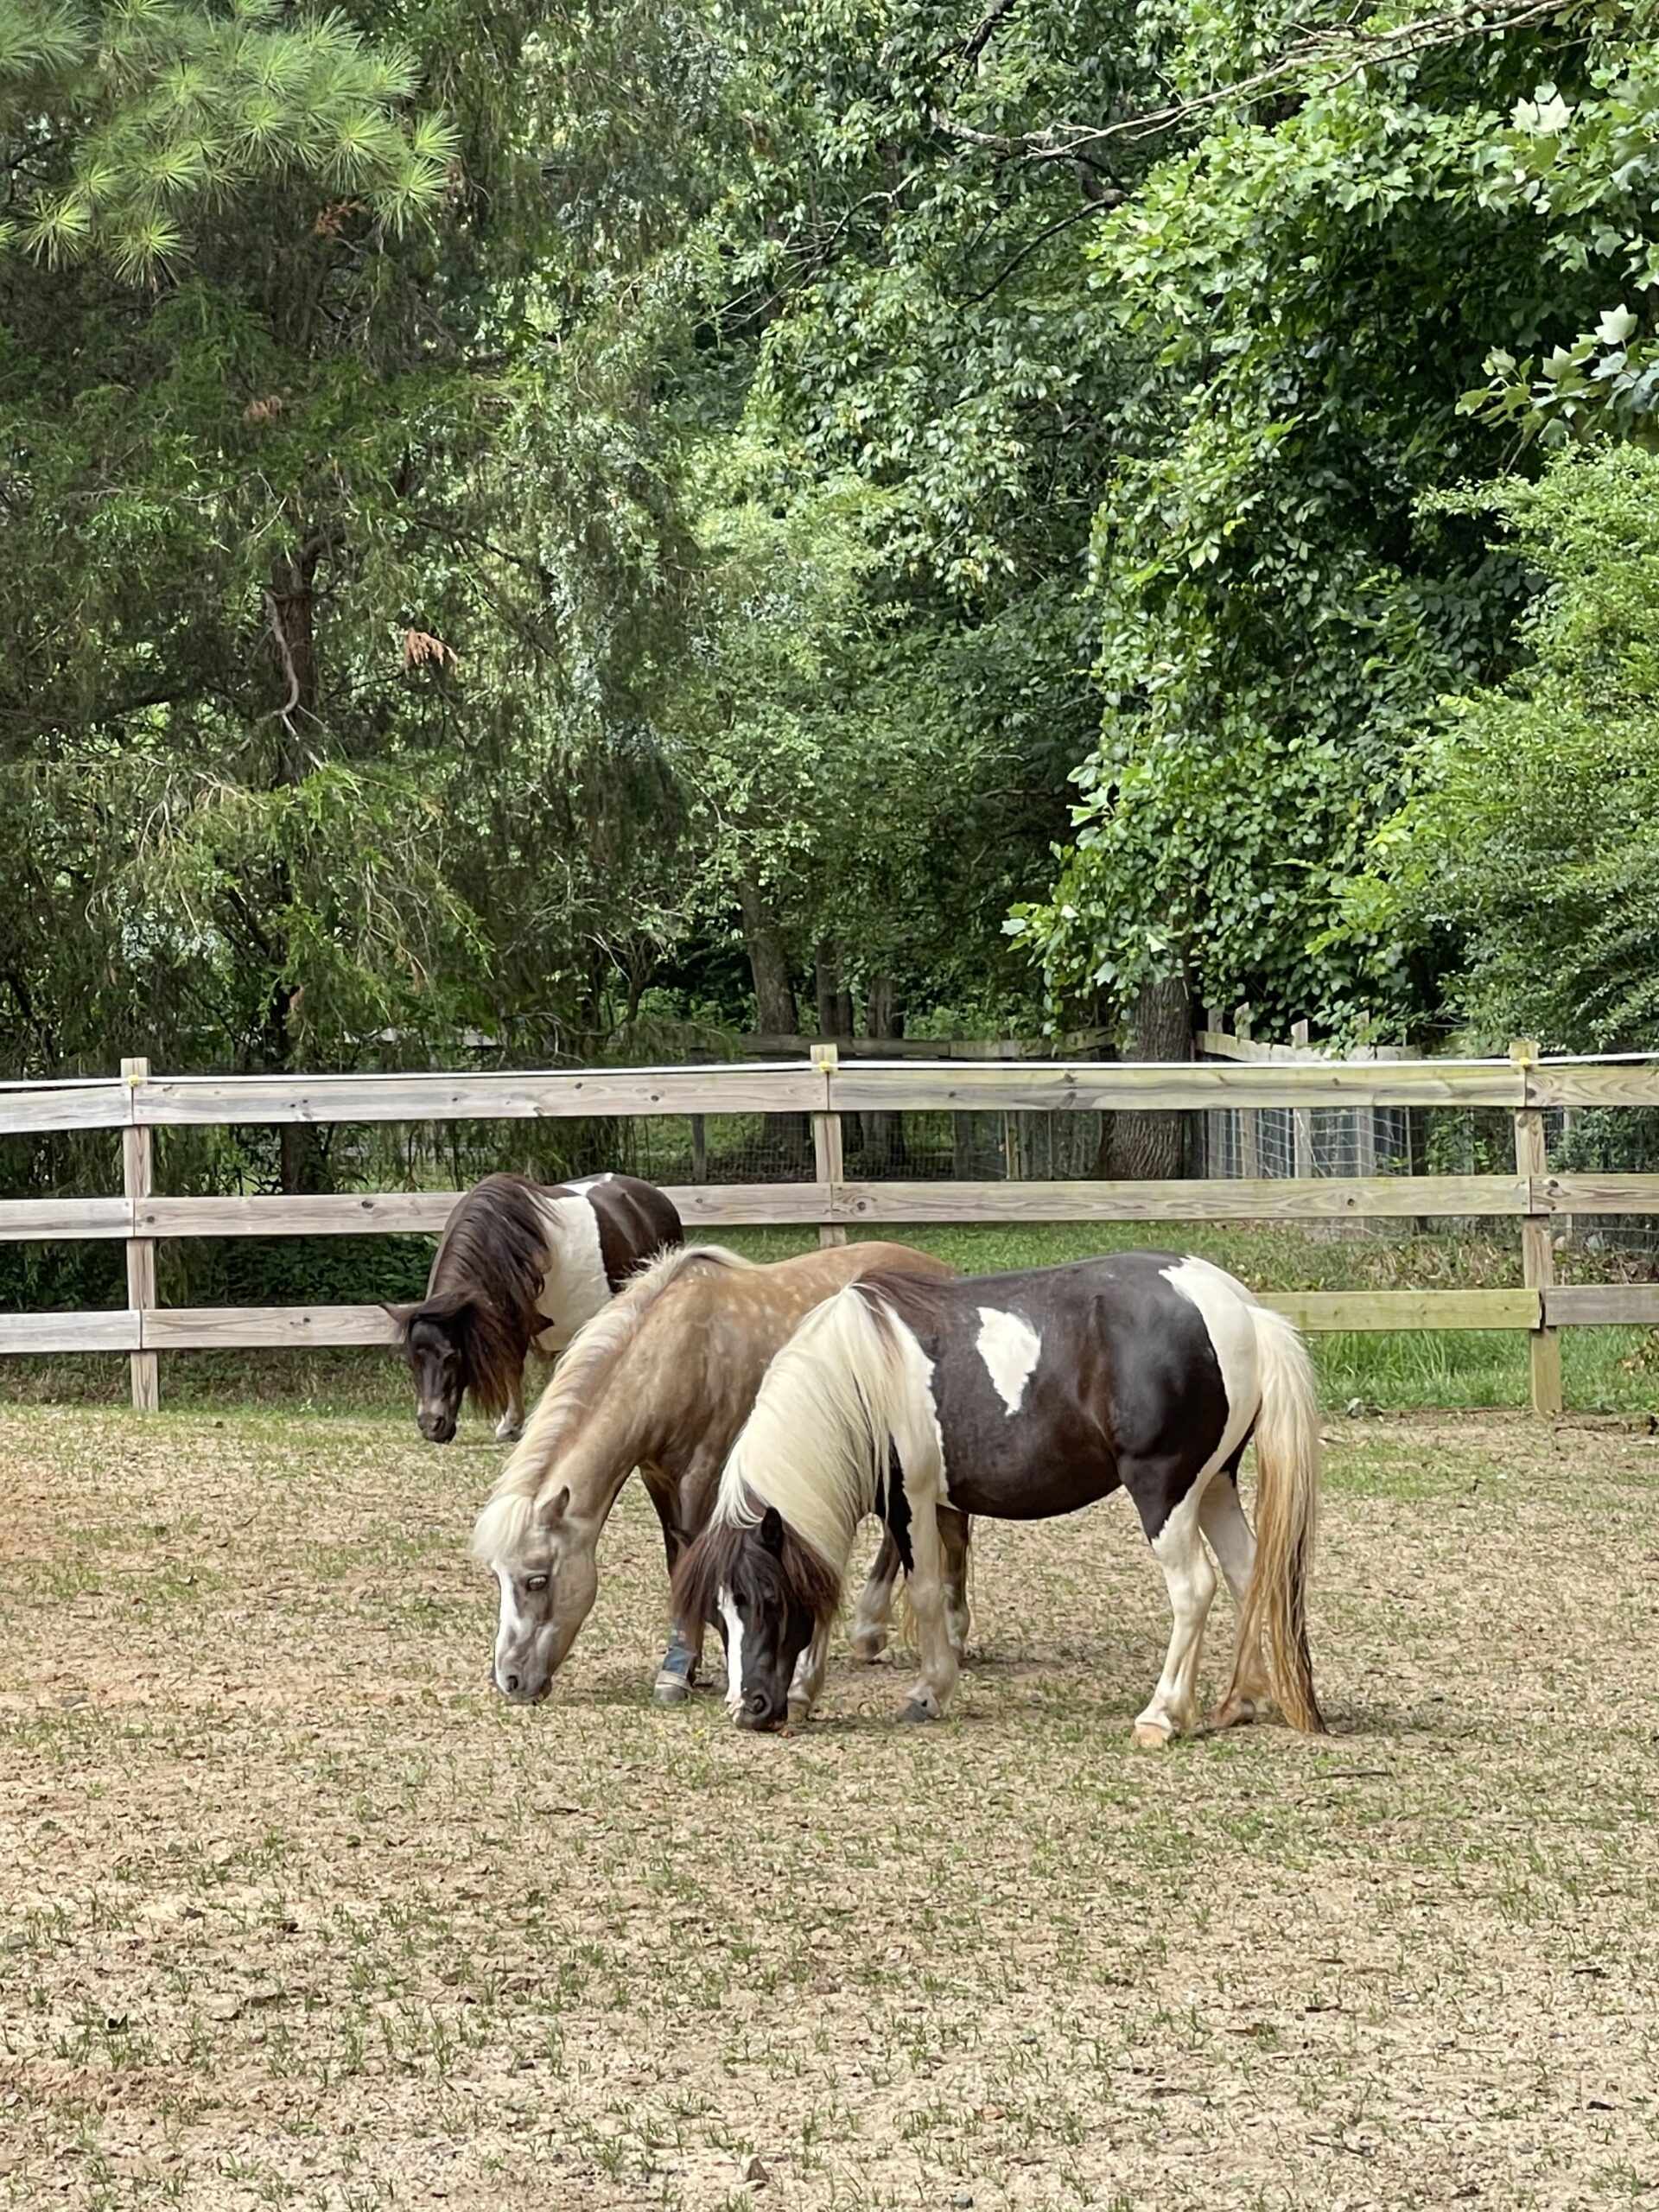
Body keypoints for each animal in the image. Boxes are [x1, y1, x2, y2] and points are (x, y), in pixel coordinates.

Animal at [389, 1176, 681, 1451]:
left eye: (452, 1356)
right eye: (412, 1361)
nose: (431, 1426)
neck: (501, 1240)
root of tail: (659, 1199)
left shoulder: (517, 1322)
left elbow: (512, 1367)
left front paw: (512, 1424)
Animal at [468, 1247, 969, 1707]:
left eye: (537, 1580)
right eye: (497, 1577)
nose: (510, 1679)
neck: (672, 1354)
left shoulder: (701, 1474)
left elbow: (692, 1554)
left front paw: (677, 1669)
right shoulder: (659, 1478)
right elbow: (676, 1561)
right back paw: (871, 1632)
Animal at [677, 1265, 1327, 1743]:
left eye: (766, 1600)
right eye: (717, 1614)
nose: (750, 1708)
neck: (857, 1375)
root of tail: (1239, 1310)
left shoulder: (910, 1501)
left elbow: (924, 1592)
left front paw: (929, 1692)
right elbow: (838, 1590)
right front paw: (808, 1692)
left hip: (1166, 1493)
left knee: (1195, 1588)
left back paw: (1161, 1715)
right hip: (1214, 1485)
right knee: (1249, 1575)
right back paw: (1241, 1700)